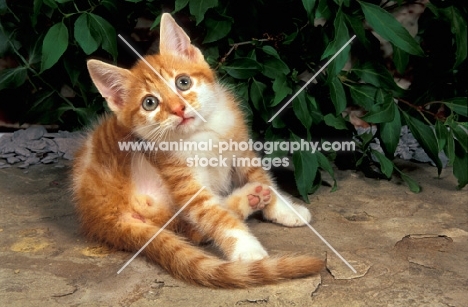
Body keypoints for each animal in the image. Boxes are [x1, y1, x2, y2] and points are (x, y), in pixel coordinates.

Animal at [73, 13, 324, 290]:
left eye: (183, 82)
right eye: (150, 103)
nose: (178, 109)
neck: (201, 134)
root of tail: (103, 217)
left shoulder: (240, 148)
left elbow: (262, 176)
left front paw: (283, 209)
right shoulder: (182, 179)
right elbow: (212, 215)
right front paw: (245, 248)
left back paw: (253, 196)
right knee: (195, 227)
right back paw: (248, 201)